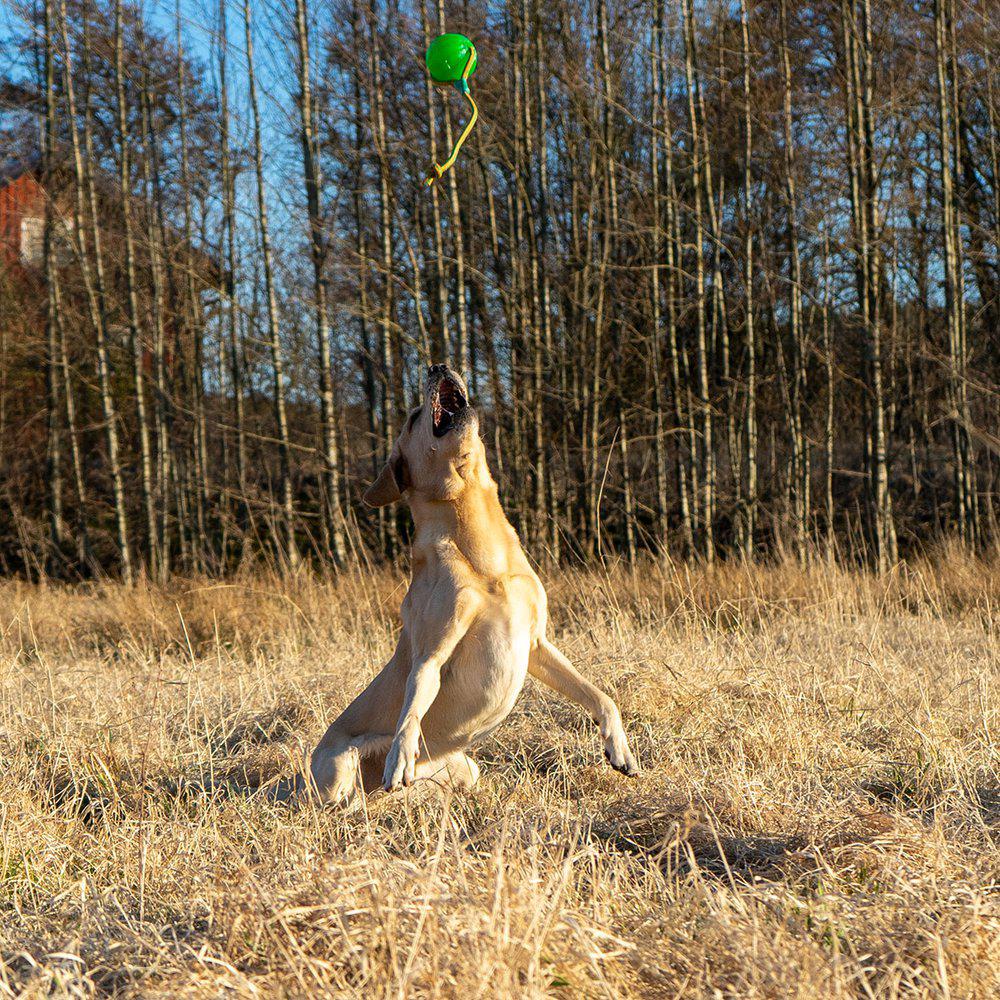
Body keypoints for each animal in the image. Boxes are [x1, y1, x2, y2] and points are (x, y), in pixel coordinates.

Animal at [308, 368, 640, 804]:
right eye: (413, 417)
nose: (437, 366)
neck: (480, 549)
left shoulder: (536, 643)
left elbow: (598, 694)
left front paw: (619, 747)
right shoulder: (433, 653)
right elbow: (410, 712)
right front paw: (399, 757)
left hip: (467, 768)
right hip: (336, 769)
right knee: (346, 799)